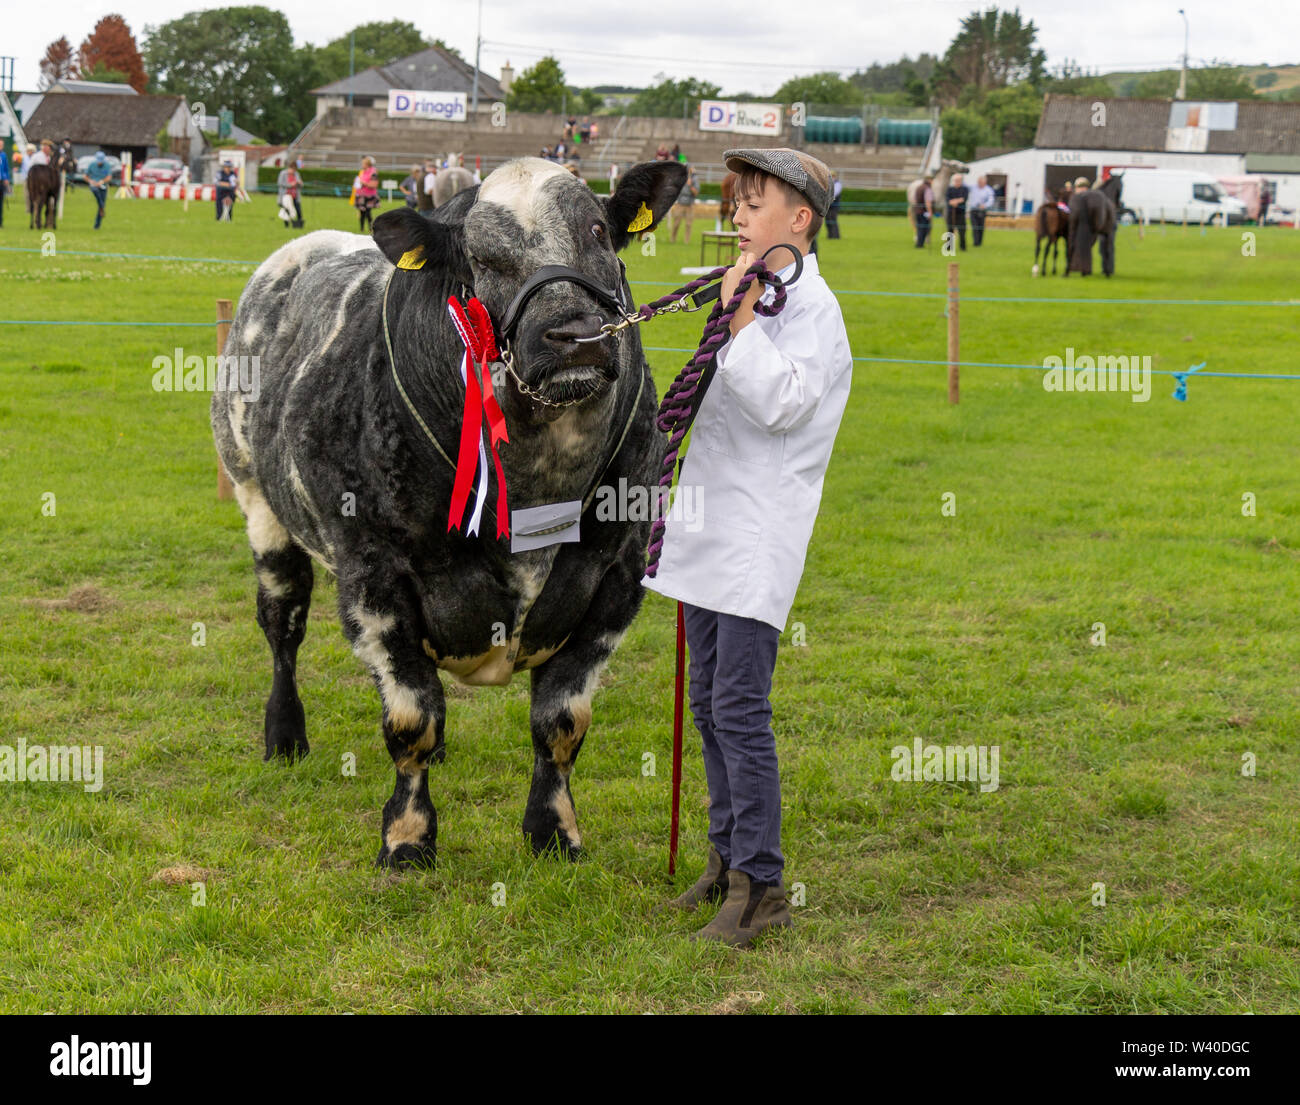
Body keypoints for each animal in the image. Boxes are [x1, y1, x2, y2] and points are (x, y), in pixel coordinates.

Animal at [210, 154, 691, 863]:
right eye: (479, 256)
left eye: (600, 231)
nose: (573, 335)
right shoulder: (375, 579)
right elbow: (413, 720)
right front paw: (407, 839)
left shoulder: (618, 577)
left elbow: (562, 722)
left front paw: (555, 832)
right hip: (256, 500)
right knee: (283, 625)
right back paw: (284, 736)